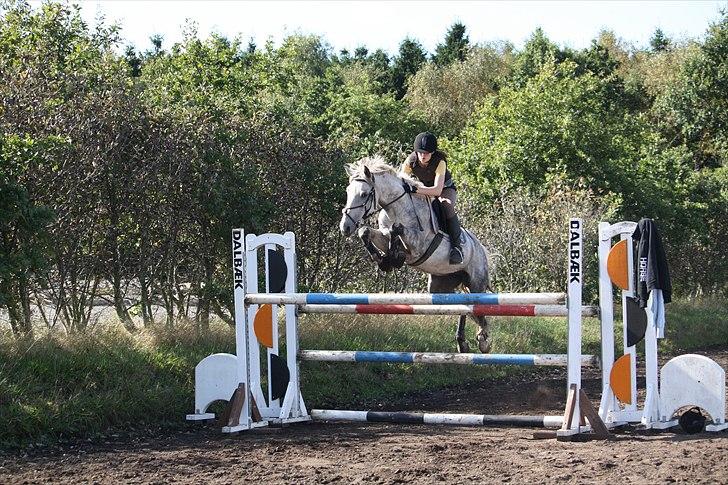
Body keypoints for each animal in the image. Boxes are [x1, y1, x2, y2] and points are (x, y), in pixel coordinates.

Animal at [339, 155, 492, 353]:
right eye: (348, 191)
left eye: (364, 194)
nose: (345, 227)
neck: (396, 209)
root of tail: (480, 248)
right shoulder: (382, 235)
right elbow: (365, 231)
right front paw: (383, 260)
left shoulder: (419, 244)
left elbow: (397, 229)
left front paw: (394, 258)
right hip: (440, 286)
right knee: (464, 305)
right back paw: (463, 342)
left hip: (476, 282)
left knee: (478, 308)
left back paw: (483, 339)